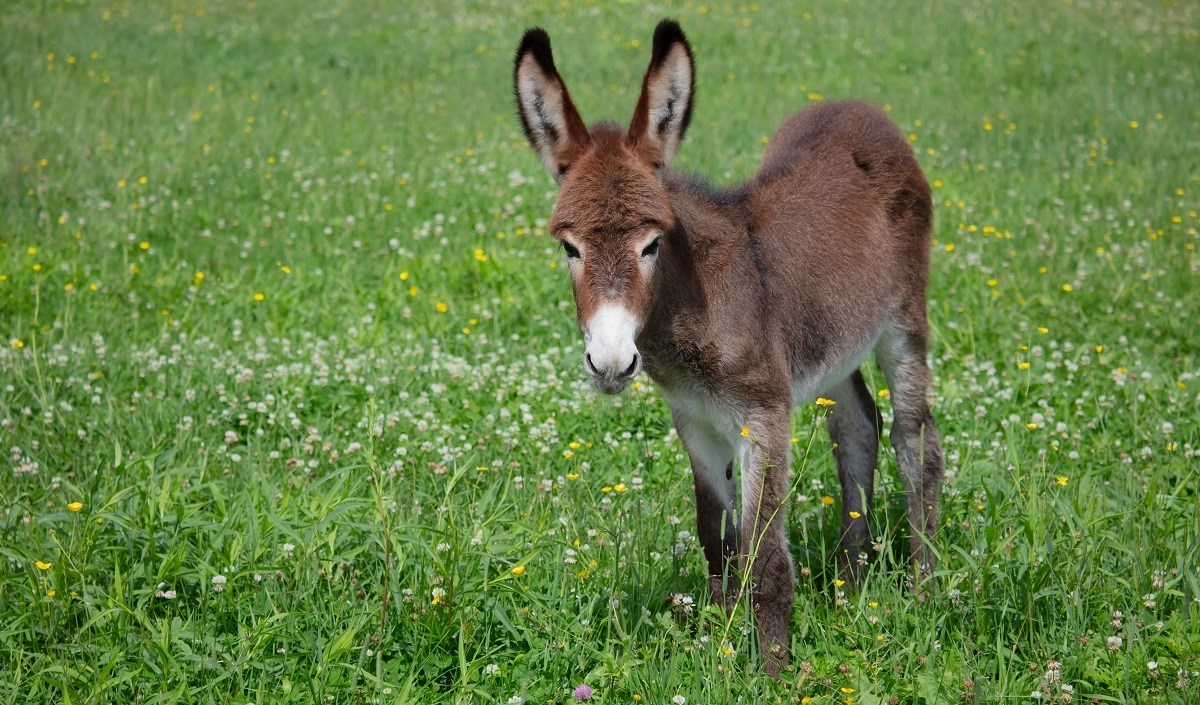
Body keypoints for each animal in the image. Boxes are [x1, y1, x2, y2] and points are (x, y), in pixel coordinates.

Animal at [511, 19, 940, 676]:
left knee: (915, 440)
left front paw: (773, 671)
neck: (696, 299)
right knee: (857, 427)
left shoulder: (763, 415)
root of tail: (861, 109)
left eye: (651, 245)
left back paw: (923, 587)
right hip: (832, 341)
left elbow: (764, 554)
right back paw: (851, 585)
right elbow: (716, 536)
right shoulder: (694, 419)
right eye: (570, 248)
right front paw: (718, 639)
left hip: (903, 320)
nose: (610, 363)